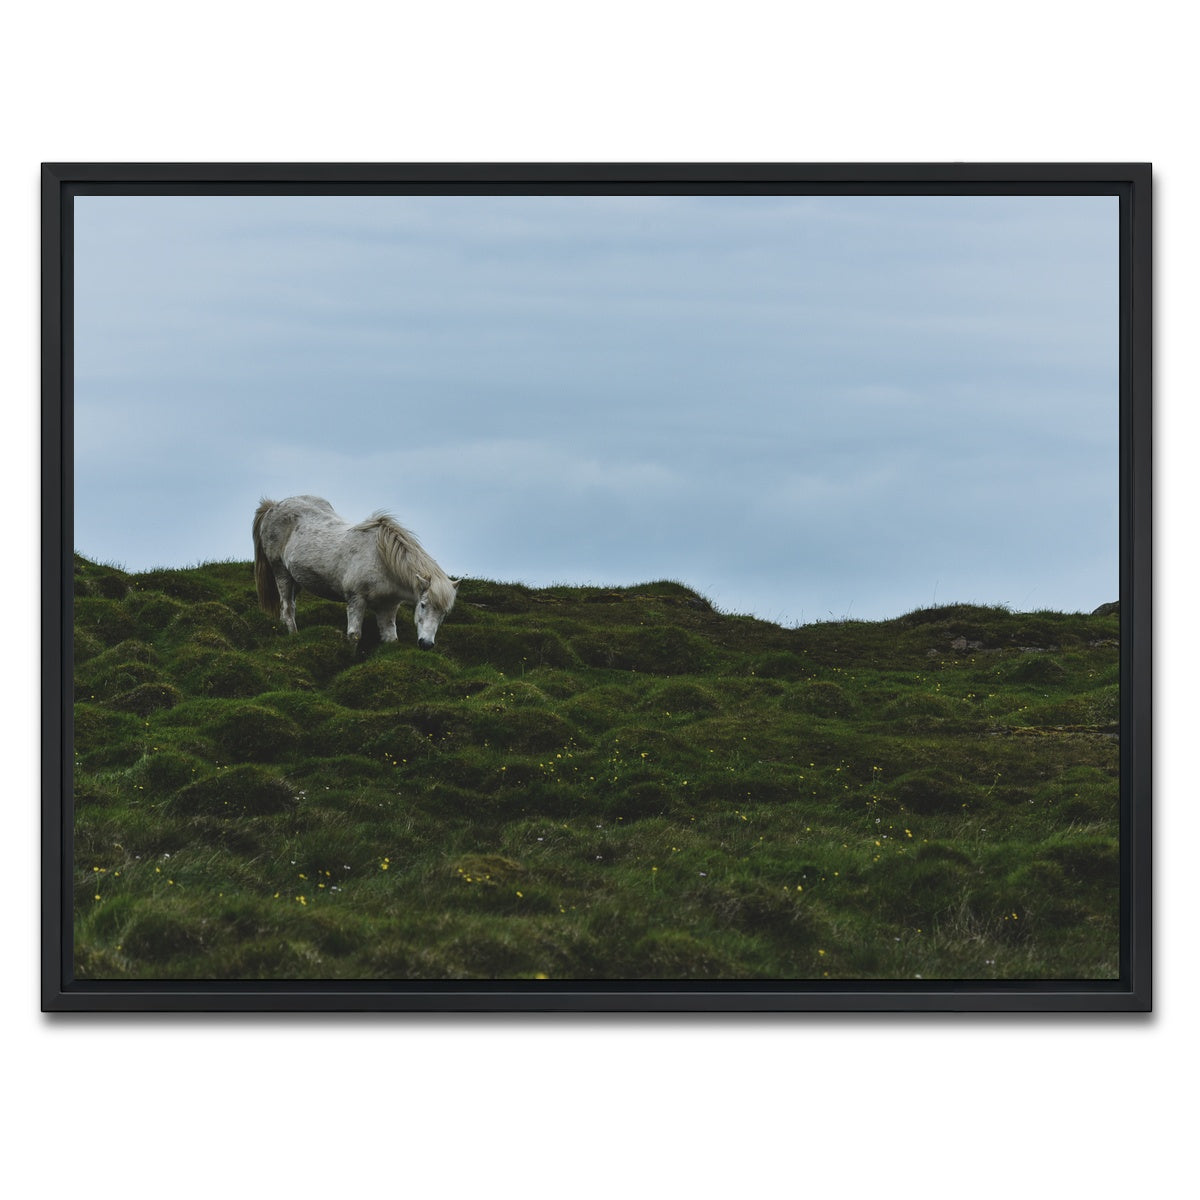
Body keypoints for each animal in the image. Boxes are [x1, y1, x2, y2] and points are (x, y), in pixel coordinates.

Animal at [253, 495, 459, 648]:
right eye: (423, 605)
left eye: (444, 613)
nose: (426, 644)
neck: (382, 560)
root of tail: (273, 506)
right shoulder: (356, 599)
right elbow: (354, 636)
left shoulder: (388, 607)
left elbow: (390, 639)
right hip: (281, 573)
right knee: (288, 608)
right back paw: (294, 636)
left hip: (297, 579)